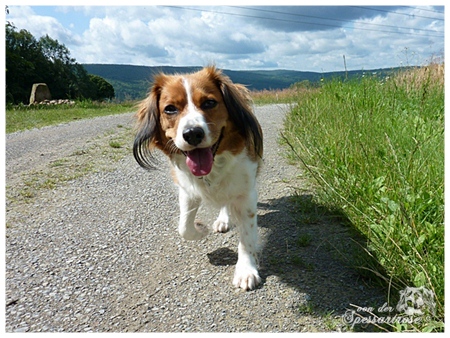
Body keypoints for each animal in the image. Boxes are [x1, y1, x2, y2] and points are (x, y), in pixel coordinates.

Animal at [133, 66, 264, 290]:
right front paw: (200, 229)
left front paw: (246, 270)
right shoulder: (187, 190)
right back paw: (222, 219)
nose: (192, 133)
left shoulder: (246, 193)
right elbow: (184, 227)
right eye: (170, 109)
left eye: (209, 103)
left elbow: (246, 236)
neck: (214, 167)